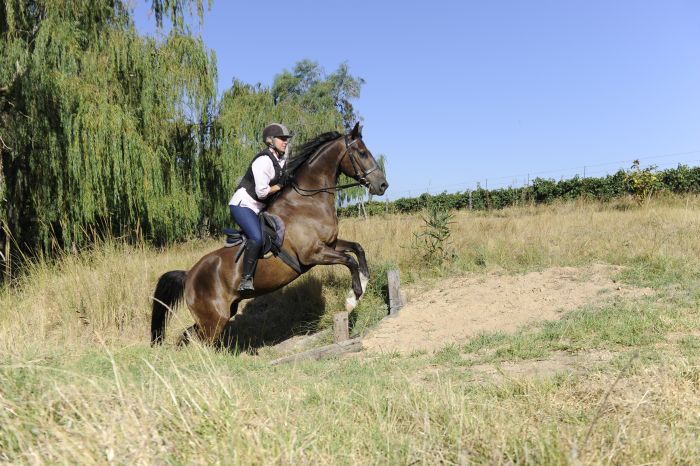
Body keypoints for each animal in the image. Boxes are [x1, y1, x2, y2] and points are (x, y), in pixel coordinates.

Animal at [150, 122, 388, 348]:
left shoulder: (330, 243)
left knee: (188, 335)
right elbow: (349, 260)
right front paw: (353, 298)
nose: (383, 185)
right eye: (362, 152)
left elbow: (357, 249)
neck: (307, 202)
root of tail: (188, 275)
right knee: (200, 340)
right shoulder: (313, 254)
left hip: (219, 314)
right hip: (214, 319)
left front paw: (365, 281)